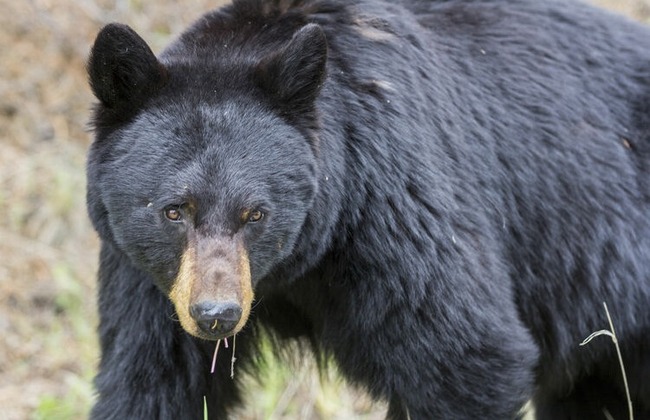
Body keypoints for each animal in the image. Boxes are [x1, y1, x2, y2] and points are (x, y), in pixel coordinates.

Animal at [86, 0, 648, 418]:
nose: (216, 315)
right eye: (173, 210)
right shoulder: (148, 276)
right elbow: (151, 379)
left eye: (256, 214)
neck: (299, 266)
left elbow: (464, 356)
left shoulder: (394, 208)